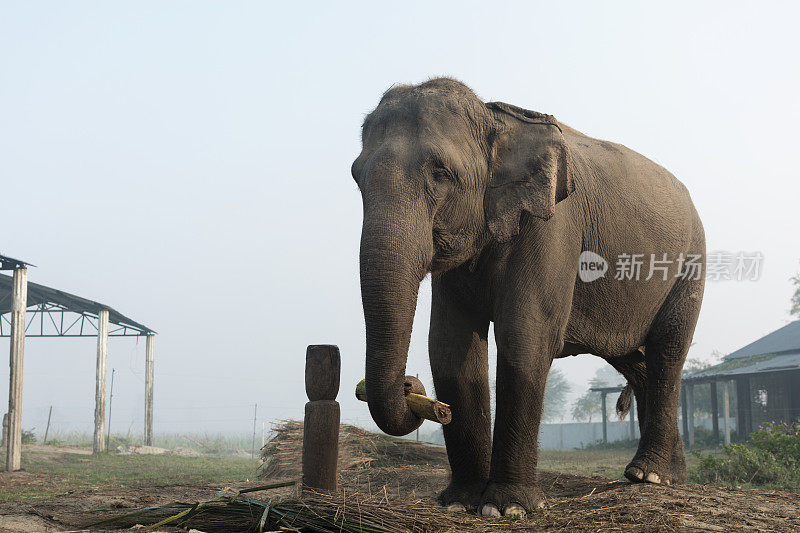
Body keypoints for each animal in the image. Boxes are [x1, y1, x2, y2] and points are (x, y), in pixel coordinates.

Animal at [354, 78, 704, 516]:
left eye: (441, 173)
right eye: (356, 177)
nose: (411, 387)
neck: (495, 120)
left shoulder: (552, 229)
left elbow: (526, 336)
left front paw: (506, 508)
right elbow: (450, 345)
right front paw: (460, 503)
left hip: (689, 267)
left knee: (667, 353)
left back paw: (650, 476)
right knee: (638, 363)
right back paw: (664, 475)